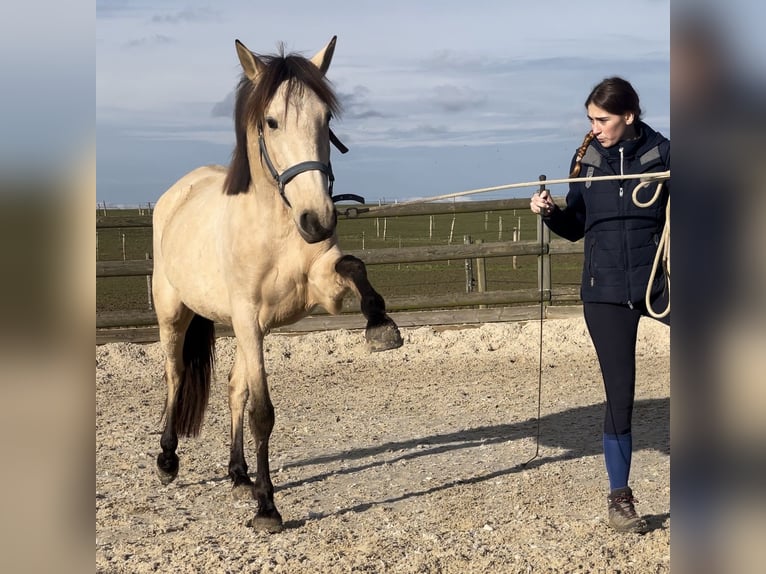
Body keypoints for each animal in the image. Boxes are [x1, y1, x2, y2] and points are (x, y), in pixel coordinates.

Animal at [150, 36, 402, 532]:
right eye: (271, 121)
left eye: (326, 120)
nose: (317, 220)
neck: (274, 226)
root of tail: (178, 192)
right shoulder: (247, 317)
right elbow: (263, 413)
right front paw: (267, 508)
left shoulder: (320, 288)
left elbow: (355, 266)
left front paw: (381, 325)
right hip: (176, 313)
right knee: (175, 373)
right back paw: (168, 460)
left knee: (233, 387)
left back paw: (238, 474)